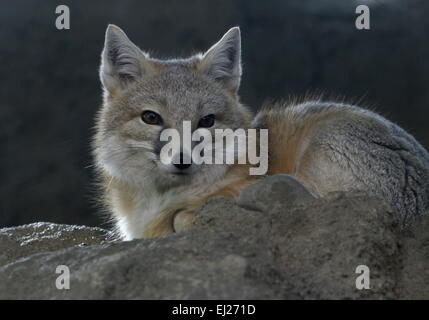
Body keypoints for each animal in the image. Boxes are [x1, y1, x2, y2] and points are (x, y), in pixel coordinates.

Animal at [93, 25, 428, 240]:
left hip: (321, 145)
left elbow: (183, 215)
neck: (156, 200)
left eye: (206, 121)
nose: (182, 160)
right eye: (151, 117)